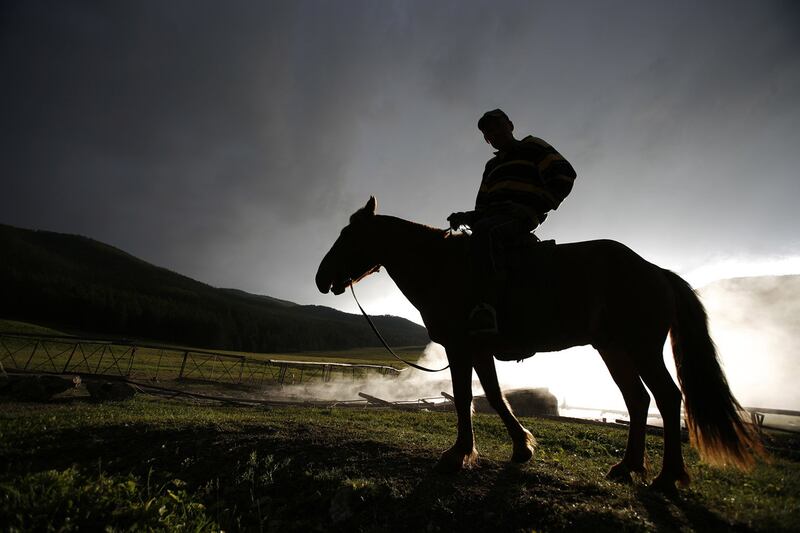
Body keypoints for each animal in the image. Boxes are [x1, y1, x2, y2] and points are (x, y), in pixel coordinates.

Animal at [312, 196, 764, 490]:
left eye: (347, 236)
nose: (320, 278)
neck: (442, 268)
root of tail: (655, 270)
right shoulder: (479, 350)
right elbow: (493, 397)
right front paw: (521, 448)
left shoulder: (461, 347)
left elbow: (465, 399)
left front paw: (459, 455)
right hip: (613, 349)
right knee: (638, 400)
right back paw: (627, 466)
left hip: (641, 347)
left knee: (668, 398)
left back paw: (668, 476)